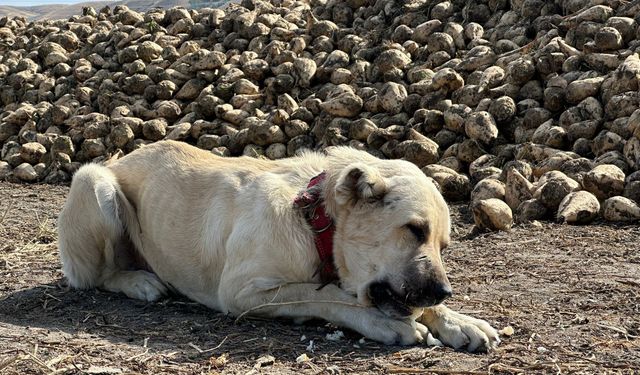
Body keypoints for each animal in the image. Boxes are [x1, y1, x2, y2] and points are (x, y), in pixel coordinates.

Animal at [57, 141, 500, 352]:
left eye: (443, 243)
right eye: (413, 229)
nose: (445, 291)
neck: (314, 223)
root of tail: (119, 159)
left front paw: (459, 321)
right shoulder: (240, 292)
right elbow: (324, 294)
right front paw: (385, 323)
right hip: (95, 182)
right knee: (95, 276)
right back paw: (138, 282)